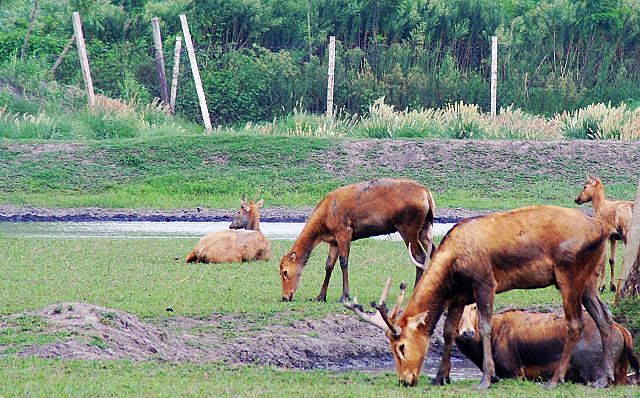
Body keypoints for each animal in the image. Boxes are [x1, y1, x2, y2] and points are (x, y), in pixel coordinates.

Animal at [278, 177, 436, 302]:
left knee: (419, 257)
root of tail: (427, 194)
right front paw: (320, 296)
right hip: (426, 228)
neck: (322, 225)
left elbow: (343, 262)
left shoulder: (344, 231)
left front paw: (344, 296)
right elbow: (329, 265)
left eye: (284, 271)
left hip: (408, 227)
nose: (285, 297)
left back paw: (415, 291)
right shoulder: (333, 241)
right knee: (433, 252)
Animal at [344, 207, 616, 390]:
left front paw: (487, 378)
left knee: (575, 323)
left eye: (401, 346)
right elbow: (448, 332)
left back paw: (554, 380)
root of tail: (603, 230)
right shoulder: (458, 296)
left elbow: (485, 326)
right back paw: (604, 378)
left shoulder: (485, 282)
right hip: (589, 281)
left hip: (569, 275)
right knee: (605, 318)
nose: (405, 380)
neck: (452, 269)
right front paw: (440, 377)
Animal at [456, 304, 640, 386]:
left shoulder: (514, 372)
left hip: (594, 371)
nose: (468, 332)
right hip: (622, 372)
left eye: (474, 307)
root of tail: (622, 330)